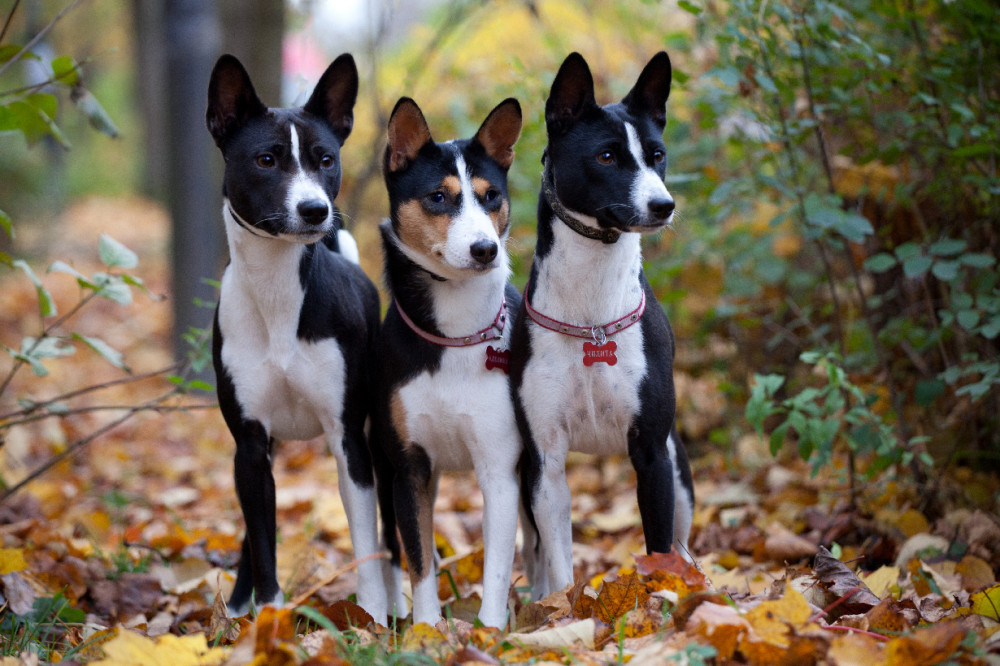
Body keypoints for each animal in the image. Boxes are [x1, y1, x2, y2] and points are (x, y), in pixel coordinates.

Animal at [205, 54, 392, 620]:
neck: (277, 296)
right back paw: (238, 608)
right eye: (266, 160)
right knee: (254, 531)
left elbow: (365, 542)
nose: (315, 211)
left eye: (325, 159)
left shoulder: (348, 439)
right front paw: (268, 619)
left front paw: (373, 619)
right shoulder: (249, 443)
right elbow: (263, 545)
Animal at [374, 96, 524, 624]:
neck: (455, 338)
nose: (485, 249)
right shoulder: (409, 467)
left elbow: (496, 567)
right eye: (438, 197)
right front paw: (426, 628)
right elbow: (418, 558)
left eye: (491, 196)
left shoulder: (499, 466)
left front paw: (491, 631)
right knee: (390, 547)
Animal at [512, 52, 692, 600]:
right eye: (607, 157)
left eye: (657, 155)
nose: (663, 205)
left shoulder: (652, 453)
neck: (591, 314)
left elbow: (659, 551)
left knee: (683, 545)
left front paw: (663, 606)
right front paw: (561, 610)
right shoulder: (546, 461)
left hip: (679, 470)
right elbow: (560, 564)